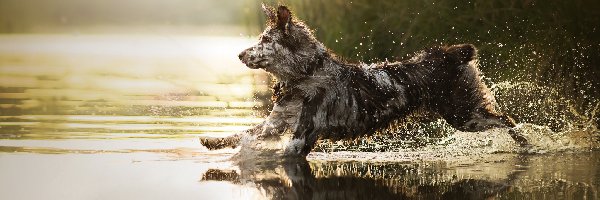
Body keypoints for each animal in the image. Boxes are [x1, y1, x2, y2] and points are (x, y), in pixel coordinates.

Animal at [199, 3, 528, 155]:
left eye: (265, 40)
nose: (239, 54)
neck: (307, 73)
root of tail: (451, 54)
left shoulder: (302, 133)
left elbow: (257, 143)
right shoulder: (277, 123)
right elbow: (242, 133)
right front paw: (212, 140)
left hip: (464, 114)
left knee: (507, 120)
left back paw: (526, 142)